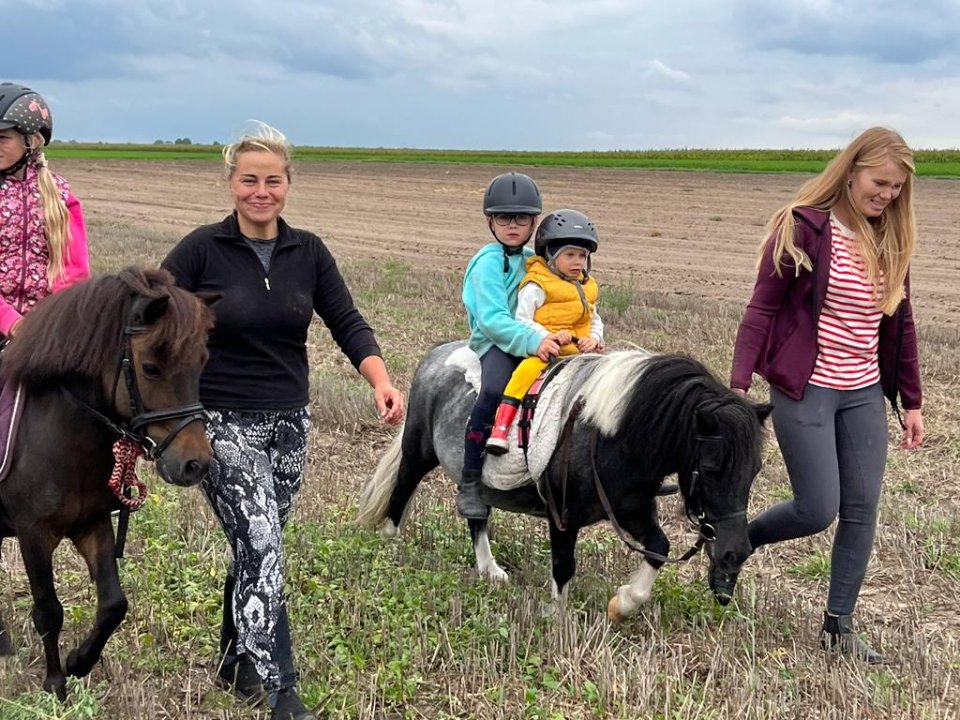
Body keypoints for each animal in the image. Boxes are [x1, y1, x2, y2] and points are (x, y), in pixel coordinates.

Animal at [0, 268, 212, 700]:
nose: (195, 463)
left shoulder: (92, 523)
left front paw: (80, 661)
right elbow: (48, 610)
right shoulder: (33, 534)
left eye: (201, 362)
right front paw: (55, 683)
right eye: (151, 367)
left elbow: (114, 604)